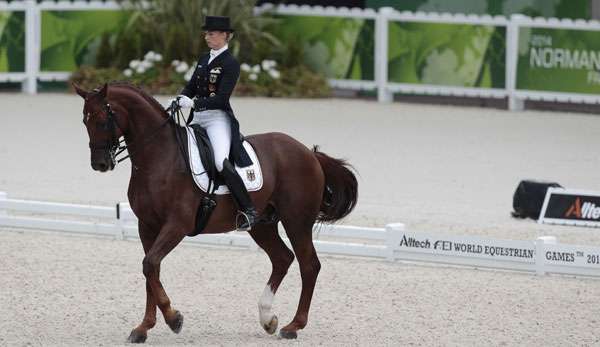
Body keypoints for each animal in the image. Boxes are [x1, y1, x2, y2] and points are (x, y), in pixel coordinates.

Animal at [74, 83, 356, 344]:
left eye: (102, 120)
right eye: (85, 121)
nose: (100, 164)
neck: (159, 157)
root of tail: (309, 153)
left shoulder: (176, 225)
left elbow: (151, 265)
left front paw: (174, 319)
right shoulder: (147, 226)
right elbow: (150, 271)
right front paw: (143, 328)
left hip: (296, 220)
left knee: (309, 265)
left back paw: (293, 325)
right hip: (262, 225)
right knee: (282, 258)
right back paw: (268, 319)